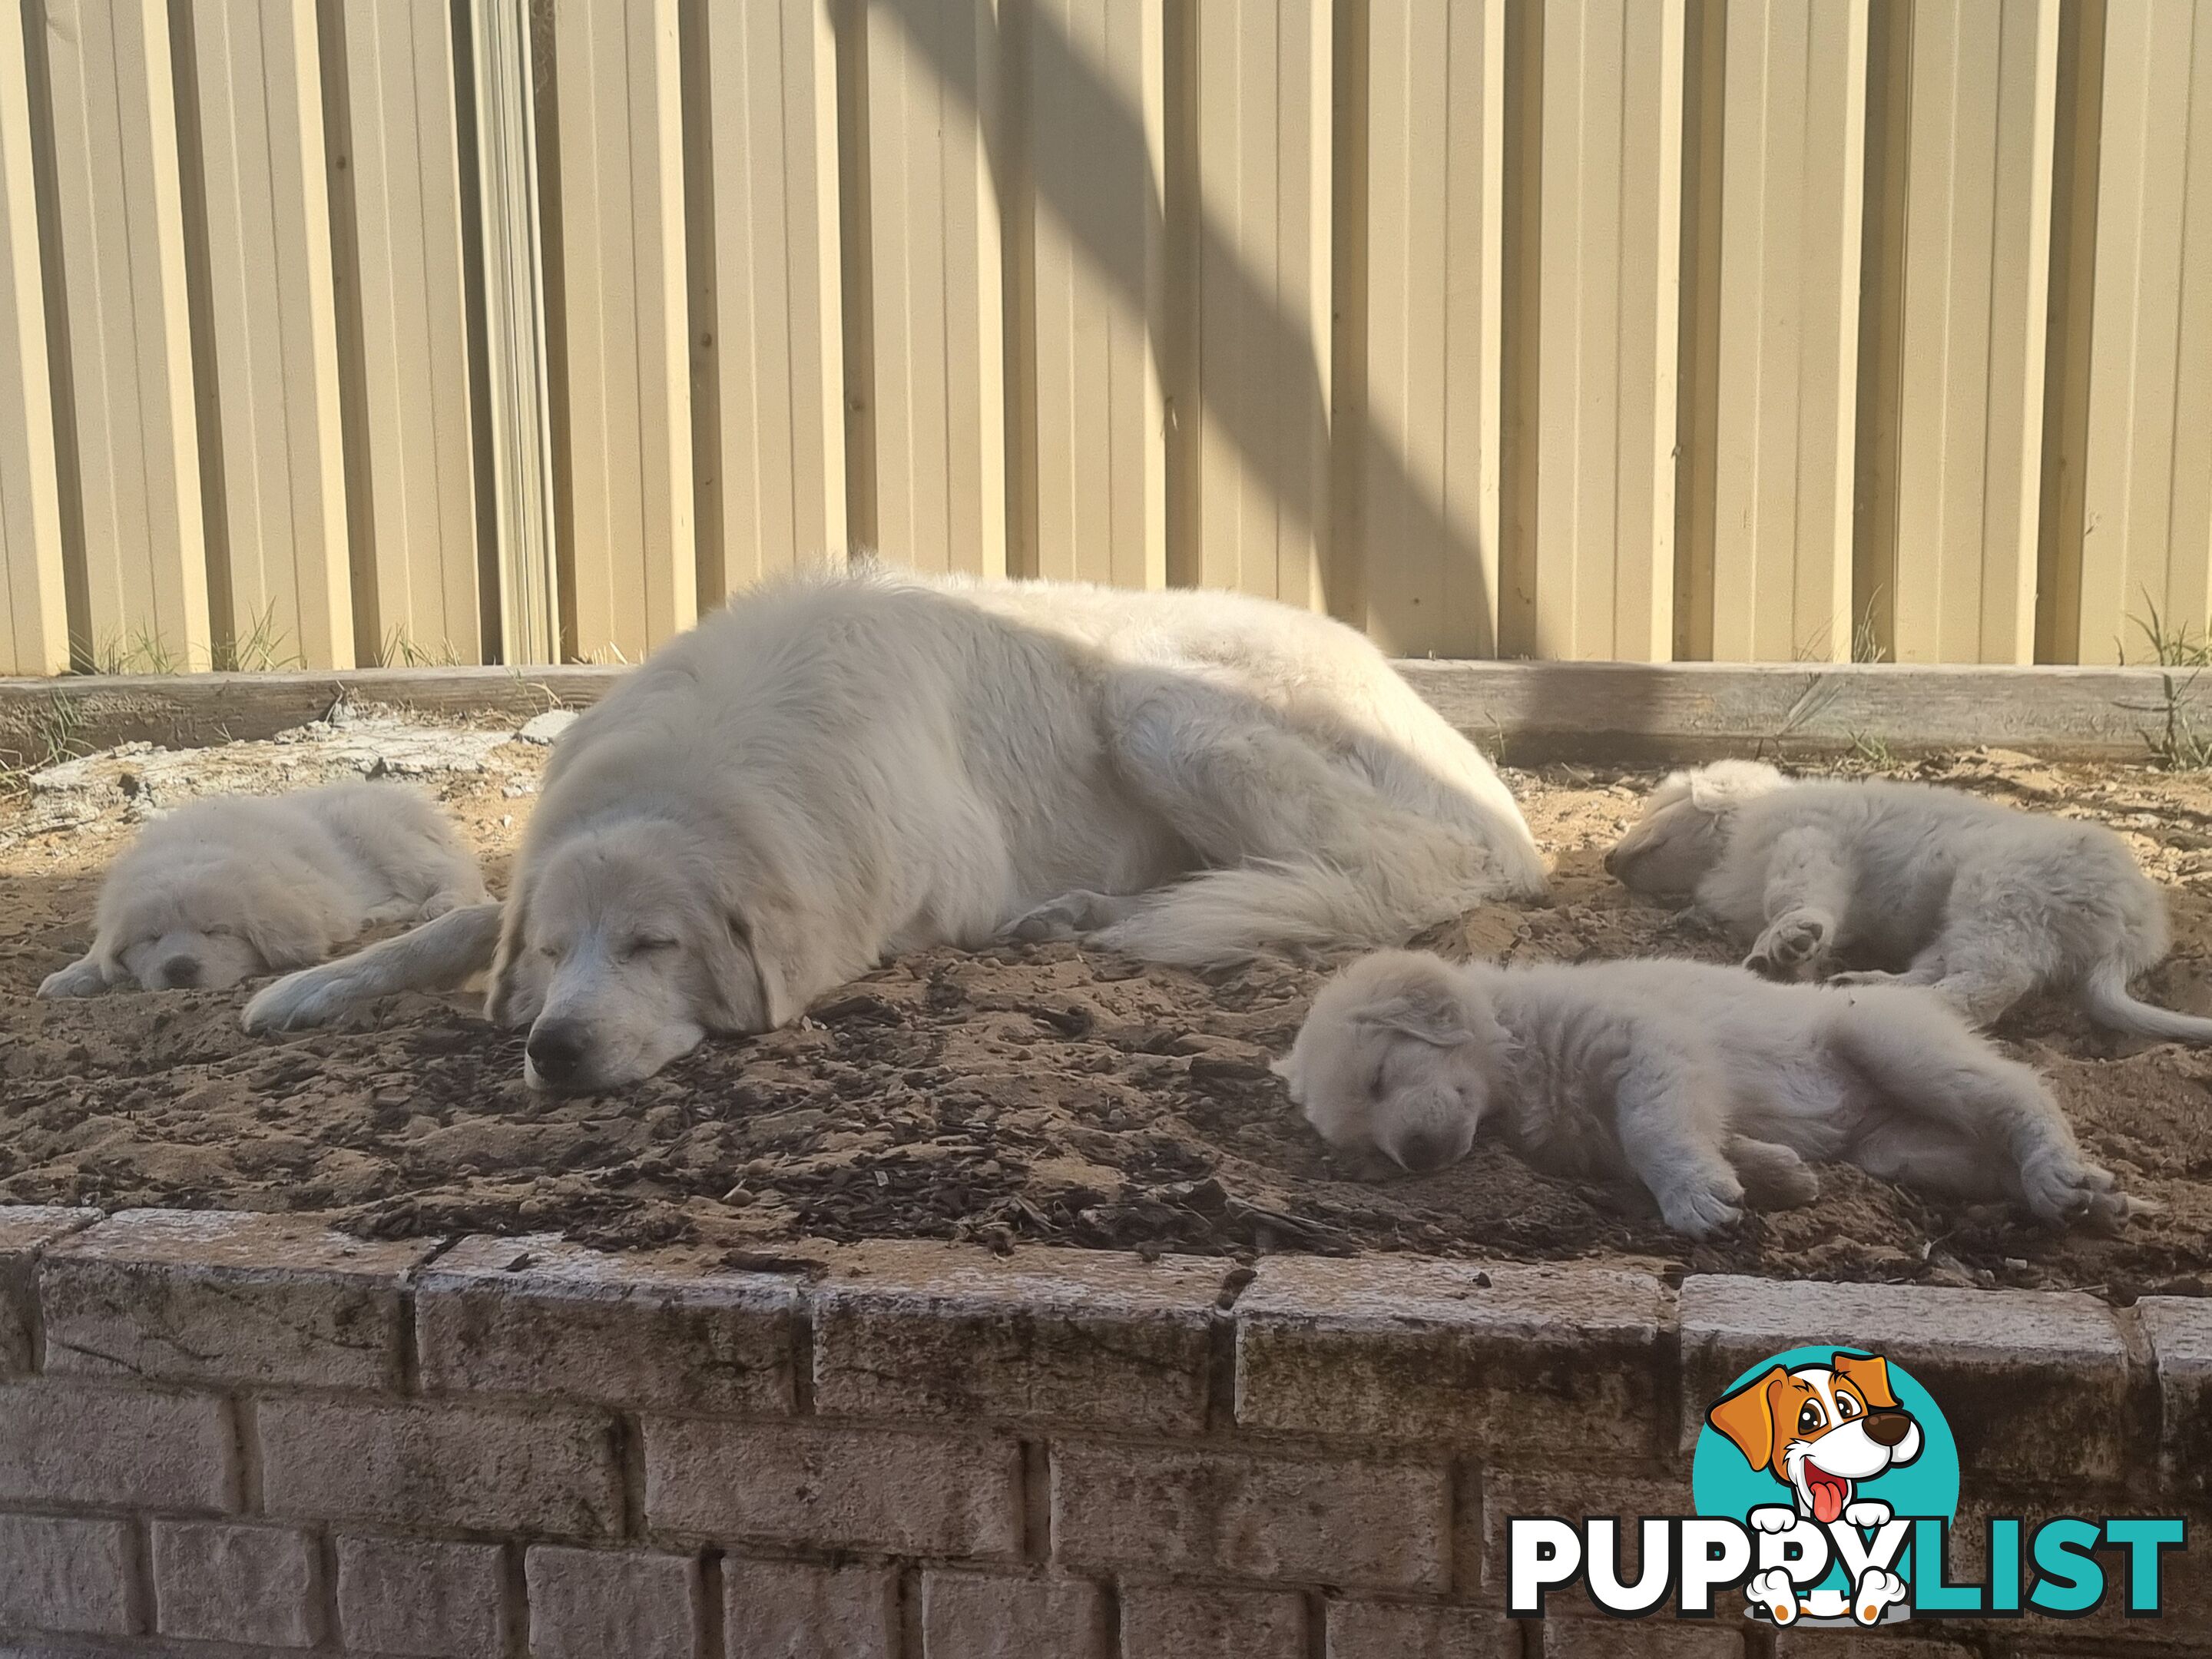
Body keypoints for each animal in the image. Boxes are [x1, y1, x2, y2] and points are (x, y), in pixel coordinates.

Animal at [35, 783, 486, 995]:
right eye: (152, 939)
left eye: (217, 932)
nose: (179, 968)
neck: (193, 851)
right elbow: (98, 950)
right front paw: (71, 976)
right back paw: (380, 913)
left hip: (375, 829)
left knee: (455, 874)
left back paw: (442, 902)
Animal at [242, 566, 1548, 1097]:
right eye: (559, 955)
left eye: (659, 948)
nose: (554, 1049)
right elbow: (469, 916)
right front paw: (316, 986)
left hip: (1155, 705)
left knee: (1373, 867)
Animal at [1283, 946, 2141, 1238]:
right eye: (1365, 1150)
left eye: (1381, 1078)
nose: (1418, 1156)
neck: (1514, 1047)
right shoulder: (1611, 1127)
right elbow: (1691, 1138)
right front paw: (1776, 1175)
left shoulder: (1648, 1049)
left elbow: (1655, 1131)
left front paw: (1696, 1200)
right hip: (1903, 1150)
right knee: (1984, 1153)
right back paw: (2092, 1193)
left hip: (1894, 1042)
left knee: (2014, 1093)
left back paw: (2056, 1171)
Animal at [1601, 765, 2212, 1039]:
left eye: (1656, 805)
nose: (1606, 860)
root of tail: (2138, 931)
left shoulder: (1811, 841)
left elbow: (1797, 899)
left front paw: (1788, 941)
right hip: (1962, 922)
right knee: (1941, 969)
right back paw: (1865, 985)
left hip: (2003, 895)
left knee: (1988, 985)